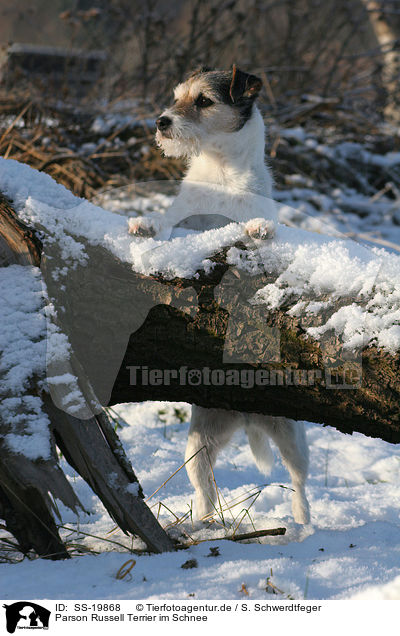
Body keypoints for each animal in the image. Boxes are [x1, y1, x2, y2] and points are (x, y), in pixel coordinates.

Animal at [130, 64, 310, 524]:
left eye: (204, 101)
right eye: (177, 96)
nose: (161, 121)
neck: (220, 174)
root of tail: (243, 414)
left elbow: (257, 230)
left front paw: (259, 231)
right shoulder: (184, 221)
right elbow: (167, 228)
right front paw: (145, 225)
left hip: (290, 434)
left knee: (300, 483)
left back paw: (303, 522)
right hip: (199, 445)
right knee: (206, 487)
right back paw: (203, 526)